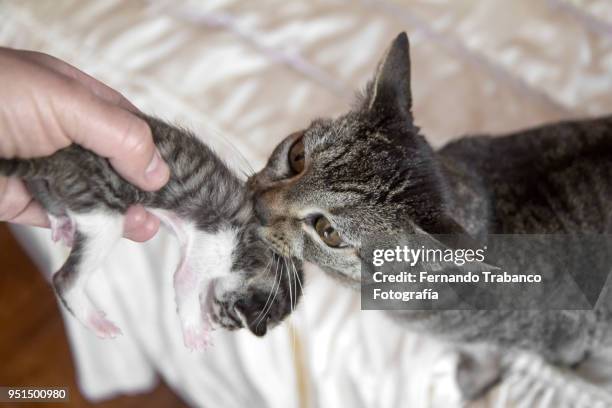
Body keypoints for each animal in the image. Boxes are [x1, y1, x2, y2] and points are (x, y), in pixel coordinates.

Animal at [0, 114, 304, 348]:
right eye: (227, 318)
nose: (215, 321)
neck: (261, 251)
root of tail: (60, 158)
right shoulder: (220, 242)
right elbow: (184, 282)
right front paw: (194, 329)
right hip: (104, 216)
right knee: (65, 279)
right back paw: (95, 321)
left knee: (40, 190)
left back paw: (60, 221)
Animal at [247, 33, 612, 400]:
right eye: (297, 156)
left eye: (328, 232)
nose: (256, 205)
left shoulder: (561, 335)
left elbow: (490, 358)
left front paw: (464, 381)